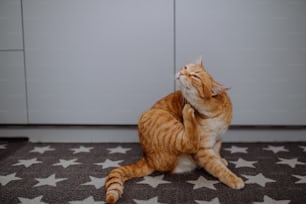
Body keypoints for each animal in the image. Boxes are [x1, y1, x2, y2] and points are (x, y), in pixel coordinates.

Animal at [104, 58, 244, 203]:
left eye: (195, 76)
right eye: (185, 67)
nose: (182, 72)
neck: (213, 114)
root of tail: (147, 158)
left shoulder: (217, 140)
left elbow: (217, 155)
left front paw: (221, 160)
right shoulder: (202, 150)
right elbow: (218, 168)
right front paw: (233, 179)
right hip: (164, 123)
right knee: (188, 142)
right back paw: (187, 111)